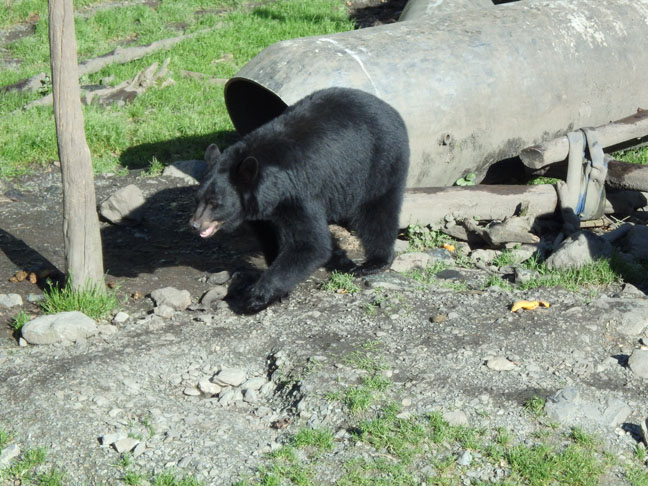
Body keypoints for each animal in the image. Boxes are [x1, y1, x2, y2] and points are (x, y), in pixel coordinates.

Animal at [190, 87, 410, 313]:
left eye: (215, 203)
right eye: (198, 199)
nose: (195, 225)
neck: (269, 186)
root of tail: (388, 108)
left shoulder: (298, 193)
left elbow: (309, 244)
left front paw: (257, 296)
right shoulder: (261, 210)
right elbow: (270, 235)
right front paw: (277, 288)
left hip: (379, 162)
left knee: (378, 211)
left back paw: (374, 263)